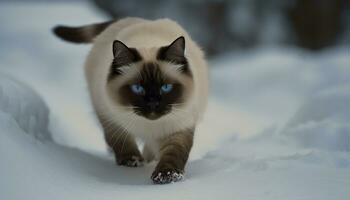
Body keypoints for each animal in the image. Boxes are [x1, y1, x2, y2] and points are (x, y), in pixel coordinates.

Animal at [52, 17, 208, 184]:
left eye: (165, 87)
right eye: (137, 88)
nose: (153, 104)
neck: (149, 127)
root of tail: (130, 19)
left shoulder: (178, 129)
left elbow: (173, 154)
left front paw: (167, 176)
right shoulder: (110, 119)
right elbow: (121, 142)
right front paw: (131, 162)